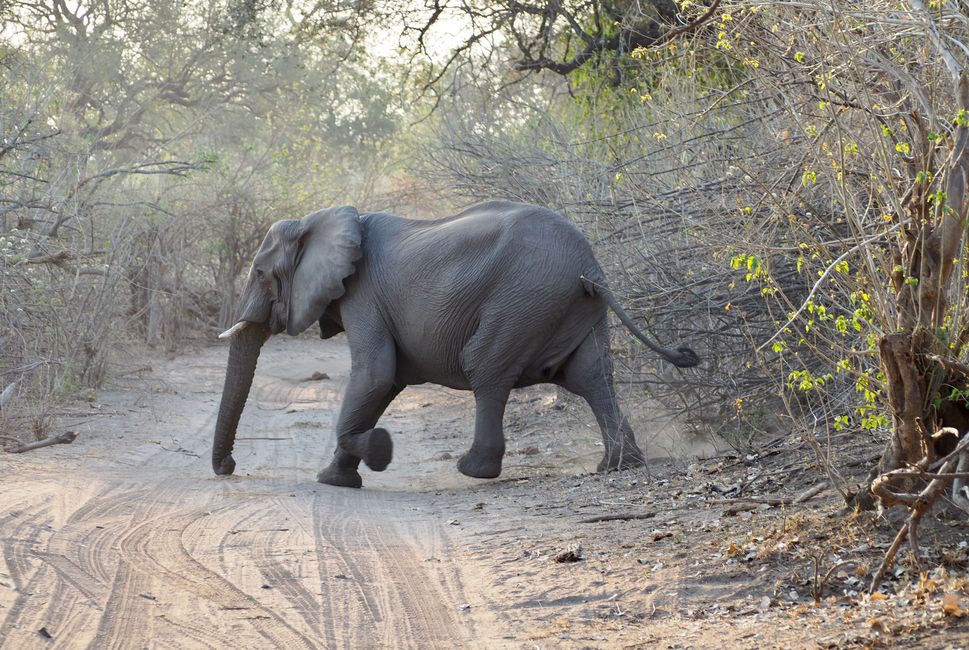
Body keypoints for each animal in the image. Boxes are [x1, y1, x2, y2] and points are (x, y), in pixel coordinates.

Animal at [212, 200, 696, 484]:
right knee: (592, 377)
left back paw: (473, 470)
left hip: (522, 299)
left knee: (486, 367)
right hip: (571, 306)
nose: (228, 469)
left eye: (260, 274)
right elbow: (385, 383)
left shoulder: (363, 295)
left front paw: (374, 454)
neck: (323, 218)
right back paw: (618, 466)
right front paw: (339, 477)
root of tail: (591, 268)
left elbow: (375, 374)